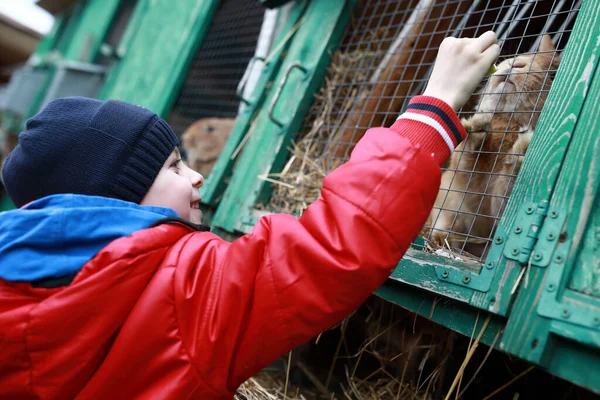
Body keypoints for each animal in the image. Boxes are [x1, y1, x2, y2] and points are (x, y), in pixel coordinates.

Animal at [426, 35, 556, 260]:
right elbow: (468, 159)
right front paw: (477, 125)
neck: (510, 121)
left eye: (552, 75)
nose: (516, 63)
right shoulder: (461, 177)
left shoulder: (498, 201)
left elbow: (504, 191)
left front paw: (523, 148)